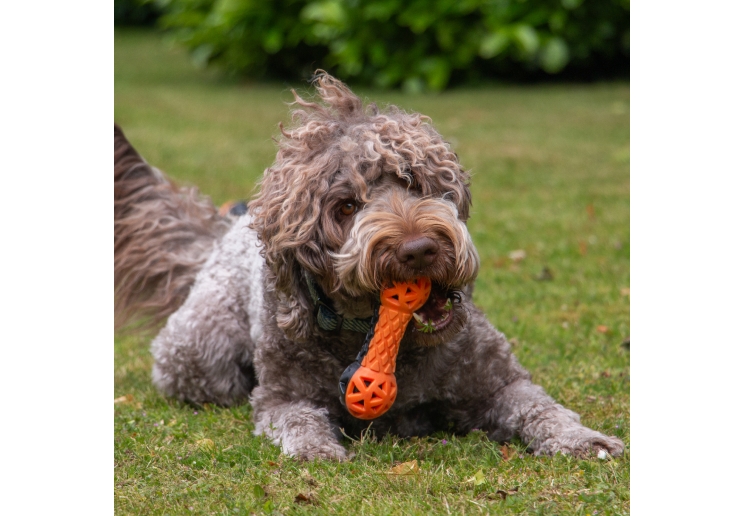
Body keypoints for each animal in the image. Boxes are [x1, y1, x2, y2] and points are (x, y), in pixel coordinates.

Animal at [115, 71, 620, 460]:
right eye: (345, 208)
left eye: (413, 180)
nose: (419, 249)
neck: (386, 339)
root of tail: (230, 225)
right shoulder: (283, 395)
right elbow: (295, 418)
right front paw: (316, 449)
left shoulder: (499, 382)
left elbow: (542, 407)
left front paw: (584, 439)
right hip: (200, 353)